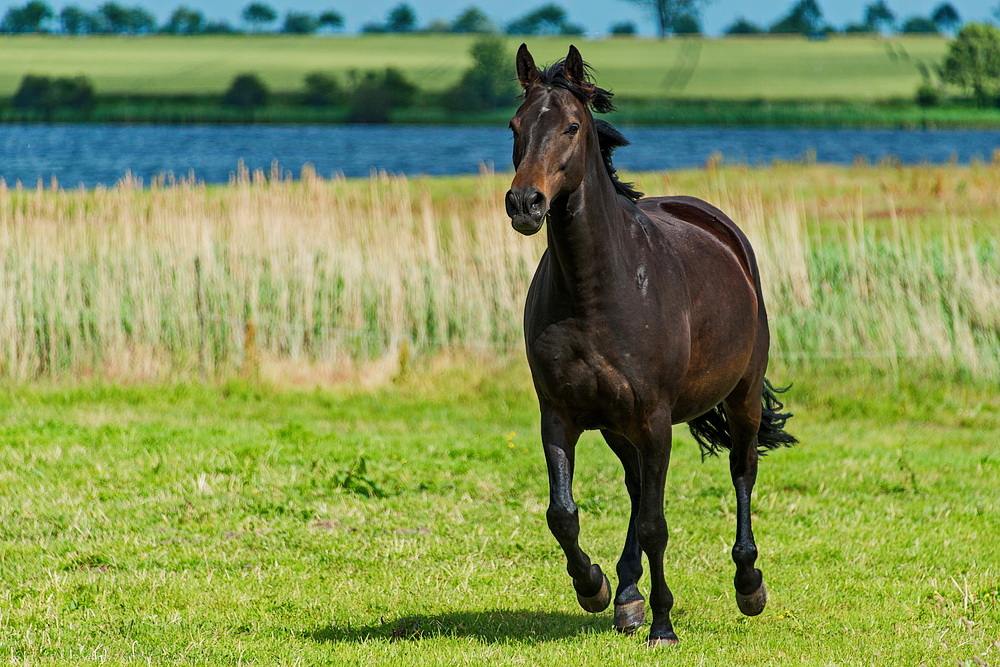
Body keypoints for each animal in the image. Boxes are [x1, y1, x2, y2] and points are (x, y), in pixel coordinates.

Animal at [504, 45, 800, 648]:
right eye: (515, 126)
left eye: (571, 126)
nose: (525, 203)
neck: (596, 292)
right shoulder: (559, 415)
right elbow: (563, 513)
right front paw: (594, 587)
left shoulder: (655, 420)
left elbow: (656, 523)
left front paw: (663, 624)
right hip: (619, 428)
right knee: (637, 487)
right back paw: (626, 595)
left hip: (741, 398)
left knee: (741, 473)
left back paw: (748, 583)